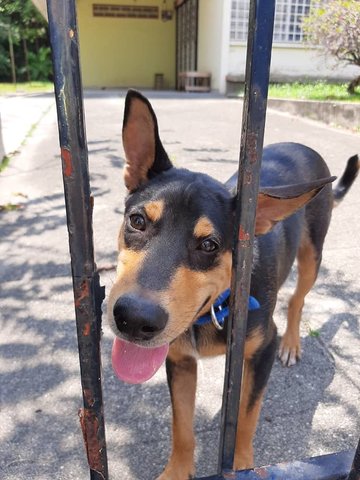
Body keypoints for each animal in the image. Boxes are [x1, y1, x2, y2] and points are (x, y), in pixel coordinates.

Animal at [108, 90, 358, 480]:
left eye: (210, 245)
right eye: (137, 221)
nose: (133, 319)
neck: (218, 305)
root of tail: (301, 147)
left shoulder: (261, 351)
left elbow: (247, 416)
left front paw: (241, 465)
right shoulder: (179, 360)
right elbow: (182, 425)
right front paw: (177, 469)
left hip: (312, 255)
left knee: (297, 300)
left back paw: (292, 343)